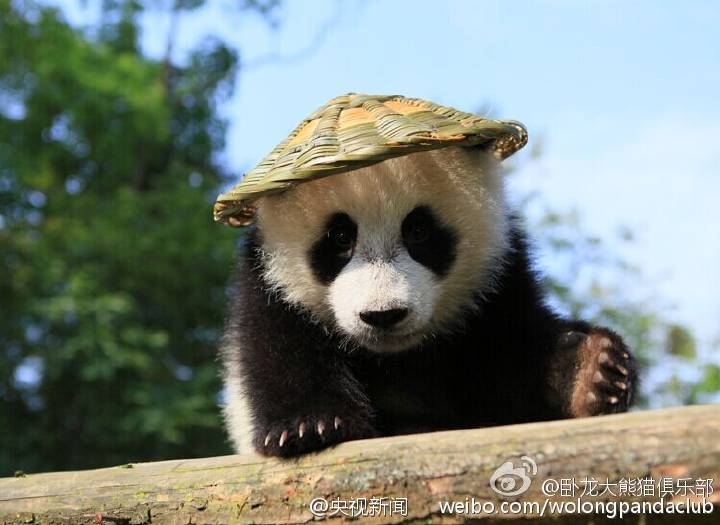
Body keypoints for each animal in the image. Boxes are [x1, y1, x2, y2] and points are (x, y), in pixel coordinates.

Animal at [220, 144, 638, 457]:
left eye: (418, 231)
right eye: (339, 238)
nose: (383, 315)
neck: (394, 357)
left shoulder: (497, 281)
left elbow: (514, 357)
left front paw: (592, 371)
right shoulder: (268, 284)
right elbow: (278, 350)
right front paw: (312, 425)